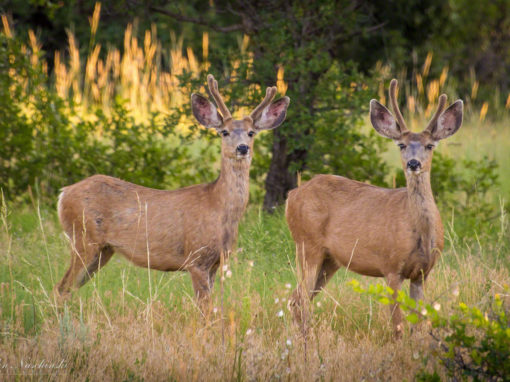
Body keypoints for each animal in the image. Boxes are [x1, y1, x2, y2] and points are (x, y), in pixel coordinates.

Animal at [56, 74, 290, 308]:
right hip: (83, 237)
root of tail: (63, 193)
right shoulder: (196, 258)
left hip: (103, 249)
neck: (218, 208)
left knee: (67, 288)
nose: (242, 147)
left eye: (251, 133)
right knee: (61, 287)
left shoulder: (216, 263)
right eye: (225, 132)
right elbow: (204, 308)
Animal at [284, 78, 464, 338]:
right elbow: (398, 323)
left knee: (297, 298)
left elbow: (418, 322)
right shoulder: (391, 266)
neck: (419, 232)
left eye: (430, 145)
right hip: (307, 245)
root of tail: (291, 195)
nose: (413, 163)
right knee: (299, 299)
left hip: (330, 259)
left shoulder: (422, 272)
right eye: (401, 145)